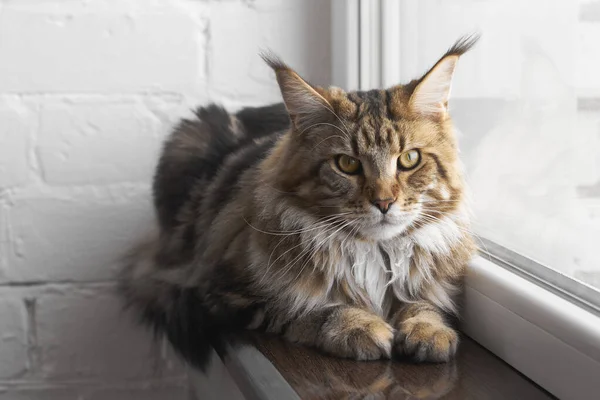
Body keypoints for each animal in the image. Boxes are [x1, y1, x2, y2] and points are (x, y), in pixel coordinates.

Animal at [120, 36, 478, 368]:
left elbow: (423, 304)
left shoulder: (427, 283)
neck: (374, 252)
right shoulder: (223, 290)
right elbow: (309, 309)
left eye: (409, 159)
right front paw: (358, 326)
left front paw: (427, 331)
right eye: (347, 164)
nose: (384, 202)